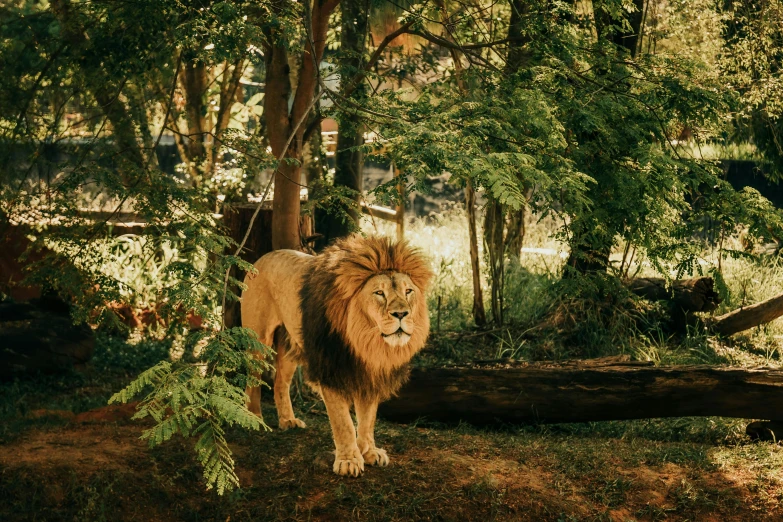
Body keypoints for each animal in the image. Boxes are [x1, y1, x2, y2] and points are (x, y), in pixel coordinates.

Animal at [242, 234, 434, 474]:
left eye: (408, 291)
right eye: (379, 293)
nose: (401, 314)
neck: (365, 342)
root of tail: (263, 257)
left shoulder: (370, 373)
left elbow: (368, 418)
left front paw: (369, 451)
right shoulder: (329, 371)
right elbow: (343, 422)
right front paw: (349, 460)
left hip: (289, 344)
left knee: (280, 383)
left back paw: (288, 421)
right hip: (258, 338)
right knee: (253, 378)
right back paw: (254, 417)